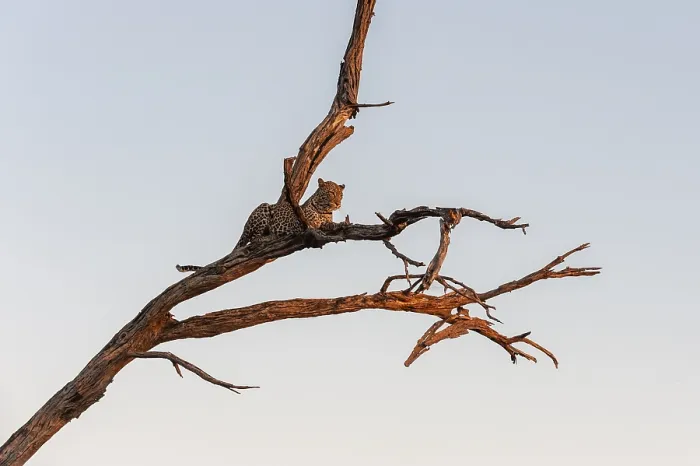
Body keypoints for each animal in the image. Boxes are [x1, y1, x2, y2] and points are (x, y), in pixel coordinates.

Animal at [176, 178, 344, 272]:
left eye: (341, 195)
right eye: (331, 193)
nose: (338, 203)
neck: (324, 211)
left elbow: (329, 223)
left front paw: (338, 224)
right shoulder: (304, 224)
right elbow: (317, 225)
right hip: (263, 208)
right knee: (254, 239)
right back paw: (268, 238)